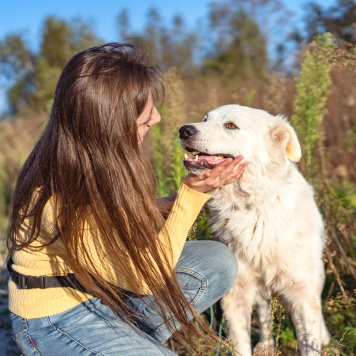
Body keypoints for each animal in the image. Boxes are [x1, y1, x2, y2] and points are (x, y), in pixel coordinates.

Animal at [179, 104, 332, 354]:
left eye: (231, 125)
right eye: (205, 119)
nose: (184, 130)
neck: (252, 210)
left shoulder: (302, 295)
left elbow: (310, 343)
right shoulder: (236, 295)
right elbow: (242, 344)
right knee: (264, 315)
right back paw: (265, 346)